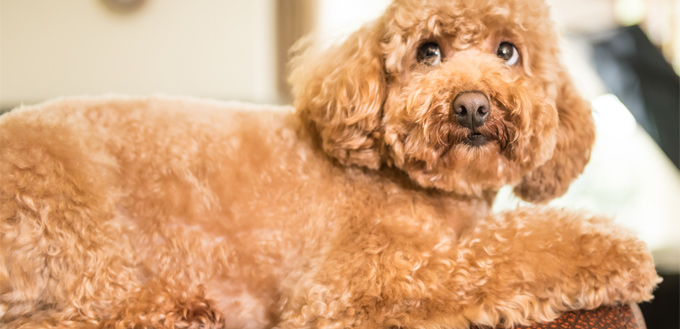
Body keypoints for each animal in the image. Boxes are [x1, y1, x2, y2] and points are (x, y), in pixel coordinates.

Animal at [0, 0, 660, 328]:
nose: (473, 105)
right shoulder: (350, 283)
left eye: (508, 52)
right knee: (81, 309)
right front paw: (616, 252)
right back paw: (179, 309)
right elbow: (500, 254)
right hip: (66, 203)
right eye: (428, 52)